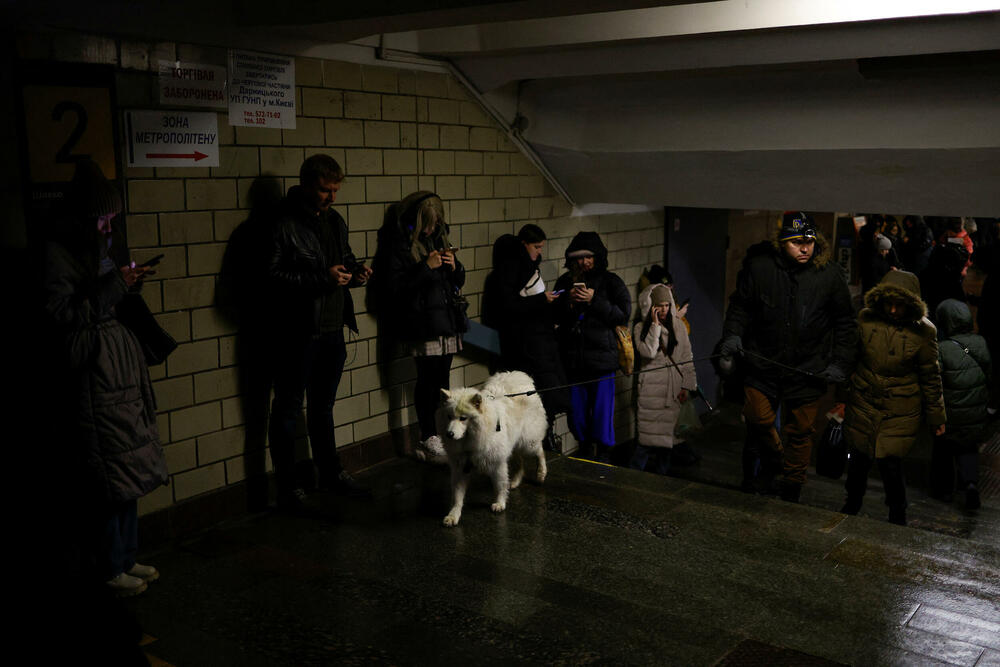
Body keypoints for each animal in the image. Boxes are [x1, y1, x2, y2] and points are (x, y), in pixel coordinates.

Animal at [436, 370, 548, 528]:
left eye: (463, 418)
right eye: (449, 416)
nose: (449, 434)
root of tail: (517, 376)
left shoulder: (497, 463)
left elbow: (499, 485)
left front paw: (500, 503)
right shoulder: (460, 468)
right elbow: (457, 496)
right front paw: (453, 515)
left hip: (527, 443)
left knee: (539, 451)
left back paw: (541, 473)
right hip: (512, 444)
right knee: (520, 461)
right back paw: (515, 481)